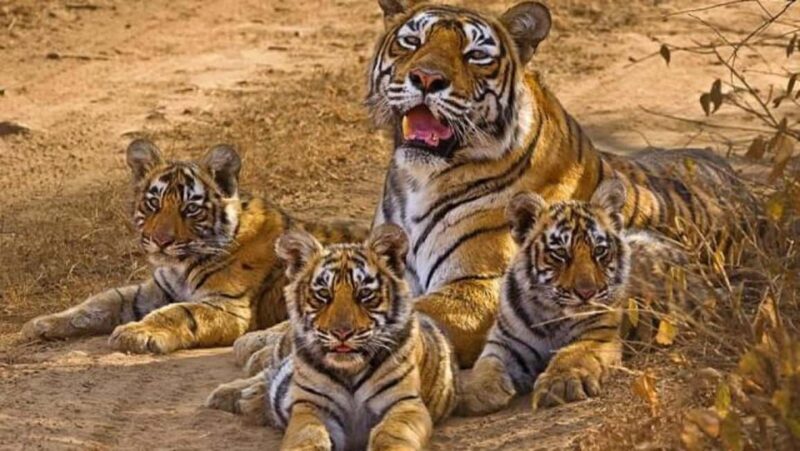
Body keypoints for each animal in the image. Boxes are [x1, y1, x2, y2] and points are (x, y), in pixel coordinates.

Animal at [20, 139, 367, 354]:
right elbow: (101, 301)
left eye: (190, 209)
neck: (181, 266)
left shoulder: (227, 306)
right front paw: (41, 324)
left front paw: (136, 333)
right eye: (153, 204)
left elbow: (179, 313)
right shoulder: (153, 290)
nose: (161, 241)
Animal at [208, 225, 458, 451]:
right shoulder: (311, 406)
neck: (350, 371)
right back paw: (229, 395)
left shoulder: (404, 403)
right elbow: (307, 435)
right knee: (266, 372)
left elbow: (391, 434)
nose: (342, 333)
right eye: (323, 294)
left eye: (364, 294)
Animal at [458, 179, 719, 415]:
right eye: (560, 254)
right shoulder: (505, 342)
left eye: (599, 251)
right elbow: (487, 363)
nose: (586, 293)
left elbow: (572, 355)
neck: (551, 314)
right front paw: (475, 391)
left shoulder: (598, 335)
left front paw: (561, 384)